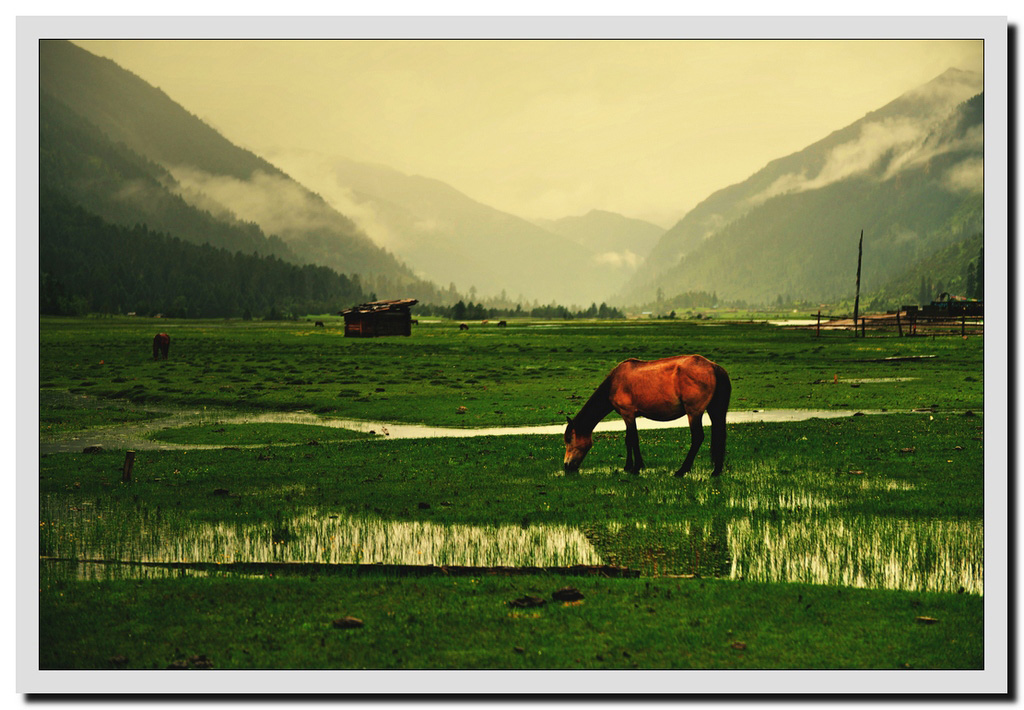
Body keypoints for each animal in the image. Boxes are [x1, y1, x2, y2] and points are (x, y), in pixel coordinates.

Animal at [569, 354, 729, 475]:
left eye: (569, 440)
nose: (567, 466)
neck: (614, 382)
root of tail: (713, 366)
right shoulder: (629, 416)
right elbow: (628, 439)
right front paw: (628, 466)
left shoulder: (627, 413)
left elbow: (633, 439)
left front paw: (636, 467)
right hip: (714, 411)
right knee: (719, 434)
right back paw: (716, 471)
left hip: (693, 412)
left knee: (697, 438)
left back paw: (682, 470)